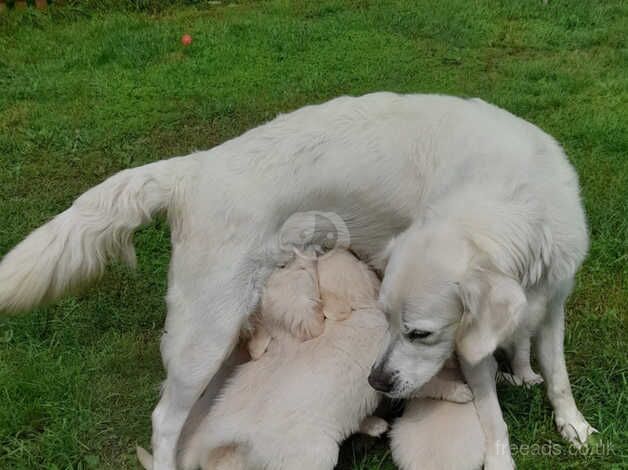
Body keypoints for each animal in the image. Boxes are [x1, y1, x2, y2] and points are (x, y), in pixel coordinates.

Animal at [0, 92, 592, 466]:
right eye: (397, 326)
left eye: (417, 332)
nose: (376, 384)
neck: (519, 196)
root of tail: (194, 167)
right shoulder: (467, 346)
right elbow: (492, 411)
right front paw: (502, 451)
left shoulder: (554, 298)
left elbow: (554, 367)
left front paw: (569, 420)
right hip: (204, 331)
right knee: (165, 418)